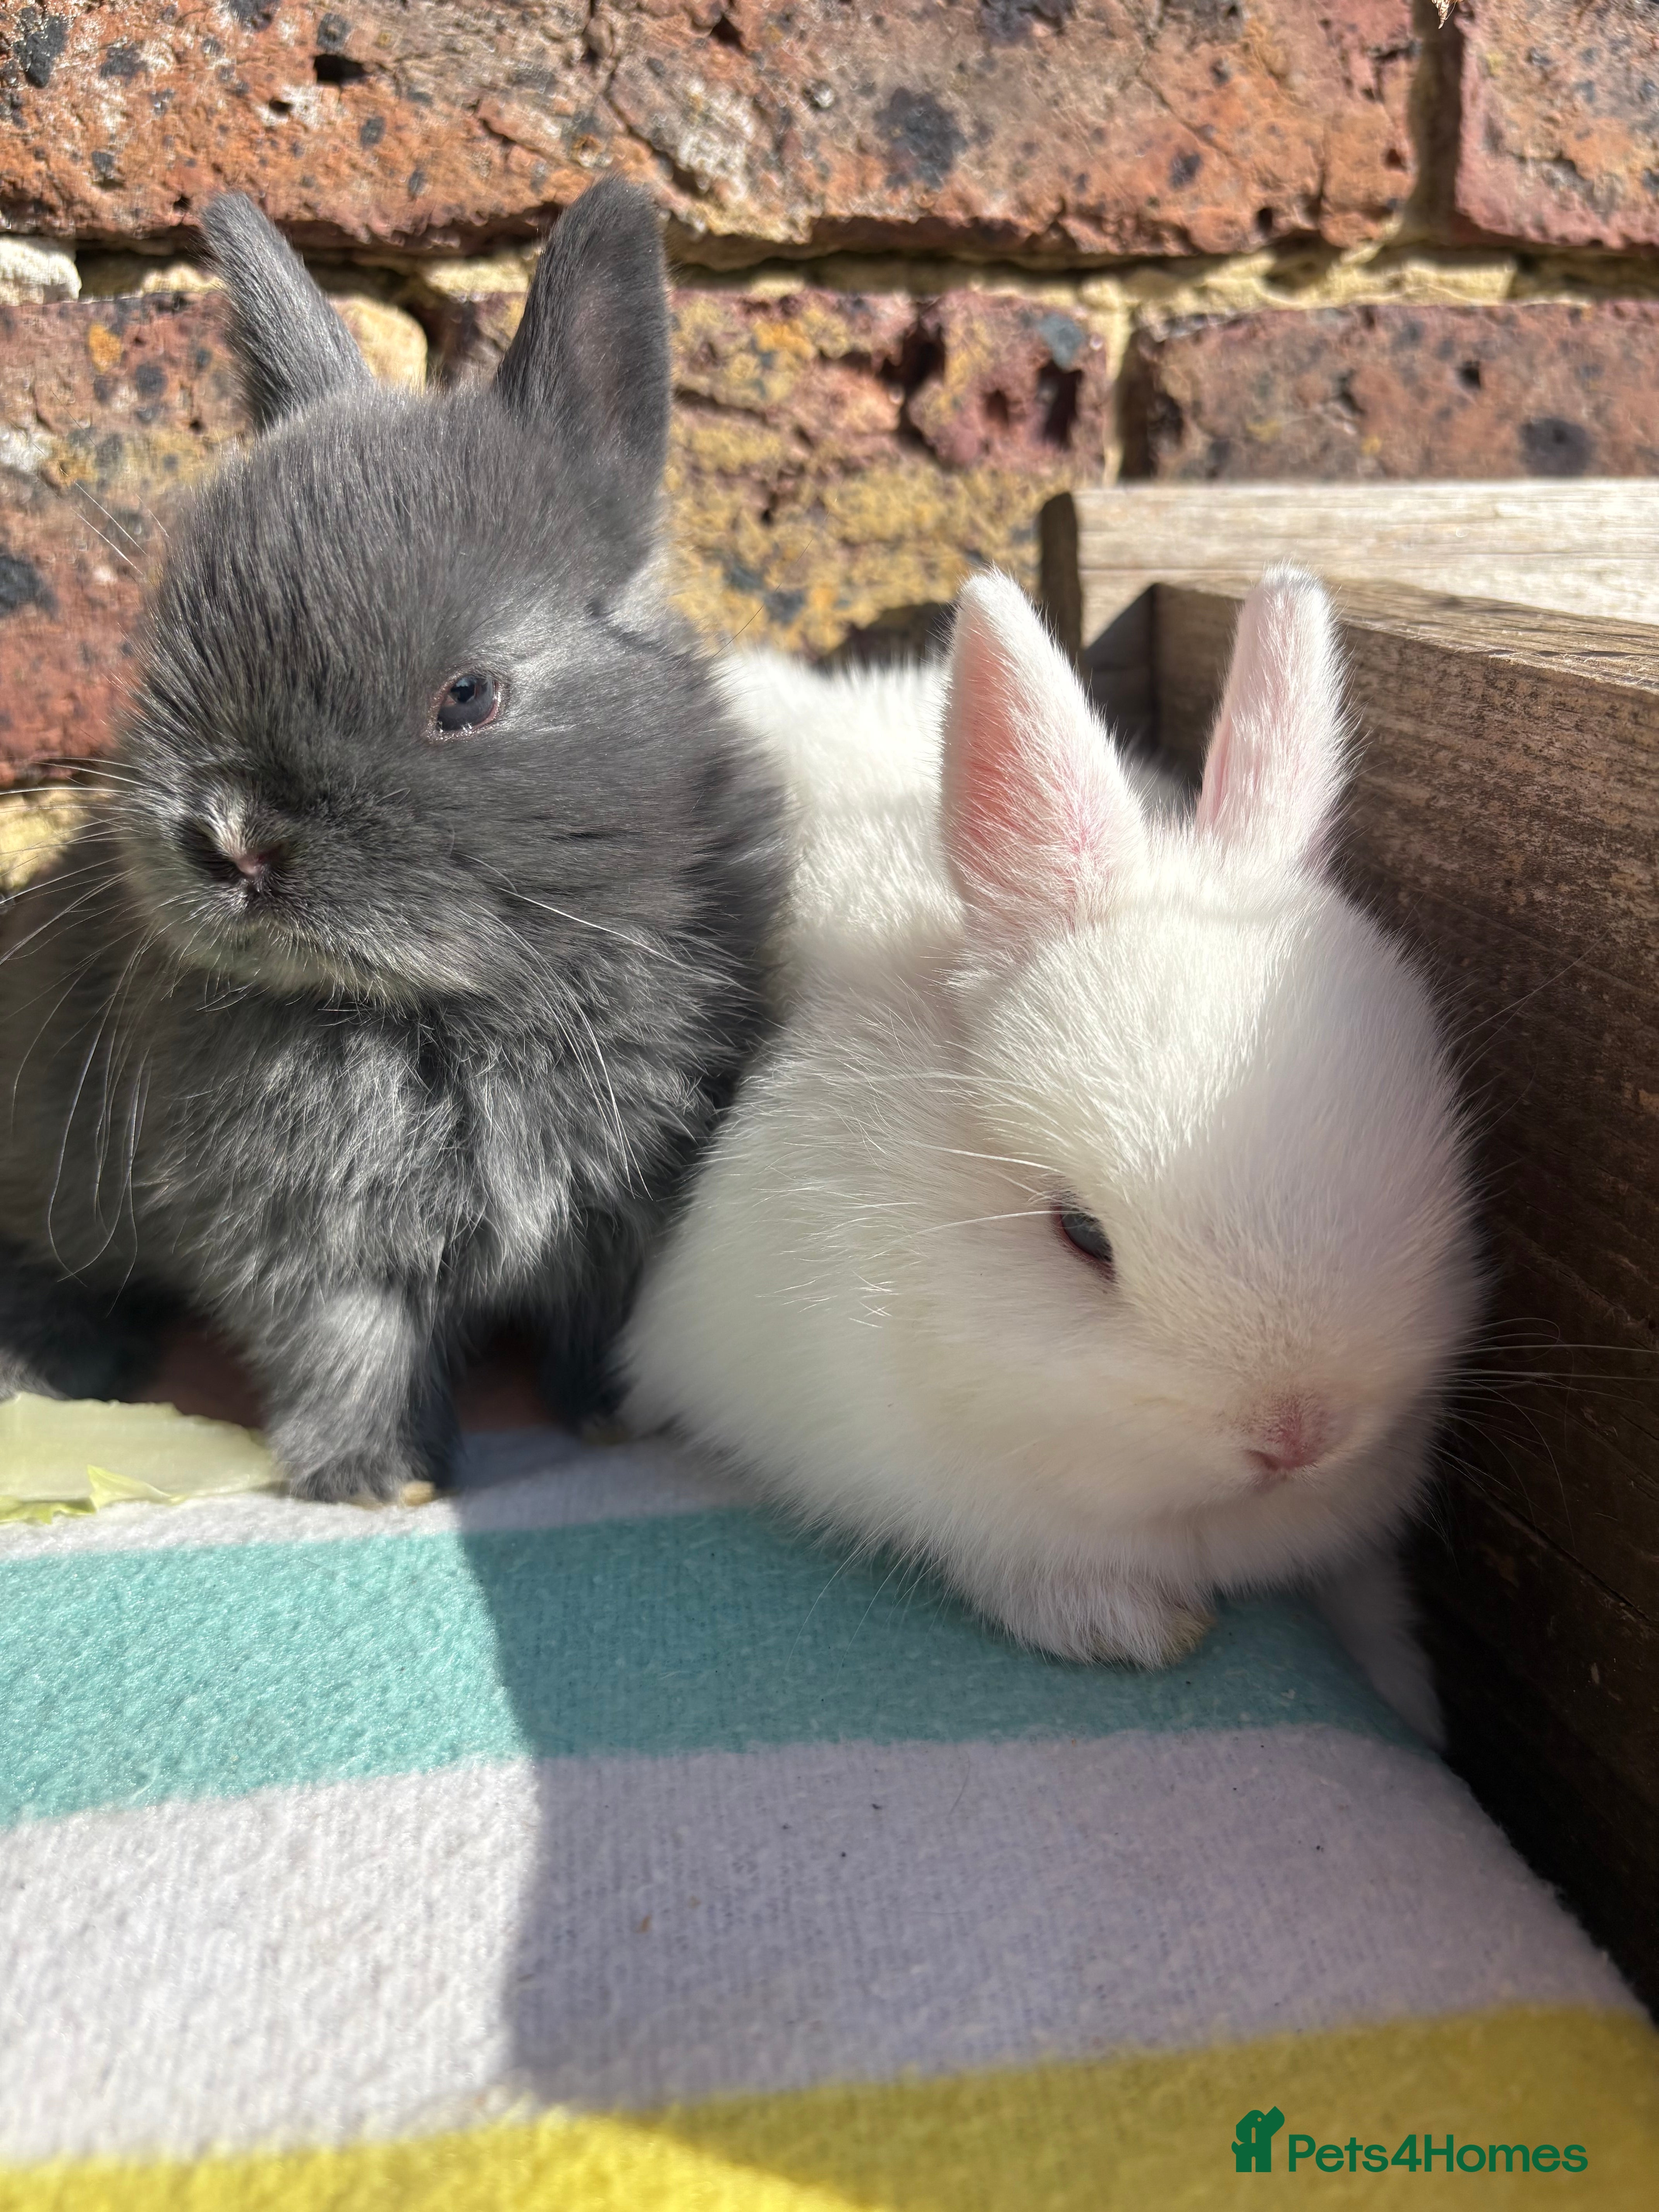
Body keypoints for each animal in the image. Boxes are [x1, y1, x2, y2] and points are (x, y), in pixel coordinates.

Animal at [0, 178, 784, 1502]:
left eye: (467, 696)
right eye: (164, 651)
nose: (234, 840)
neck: (448, 1007)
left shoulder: (623, 1213)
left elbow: (596, 1323)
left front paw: (612, 1420)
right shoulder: (306, 1238)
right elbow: (348, 1348)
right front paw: (374, 1478)